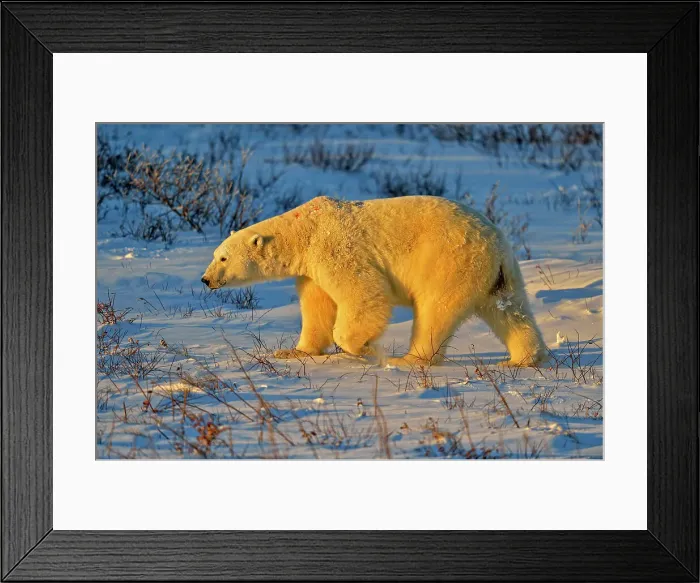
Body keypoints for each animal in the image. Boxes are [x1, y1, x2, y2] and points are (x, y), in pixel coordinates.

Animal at [201, 195, 547, 367]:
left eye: (223, 258)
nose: (205, 280)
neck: (305, 229)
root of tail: (496, 244)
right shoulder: (310, 269)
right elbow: (317, 307)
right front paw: (294, 352)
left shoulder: (335, 247)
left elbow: (363, 293)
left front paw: (363, 348)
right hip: (498, 275)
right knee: (510, 311)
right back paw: (523, 359)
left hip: (449, 263)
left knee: (435, 311)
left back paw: (408, 359)